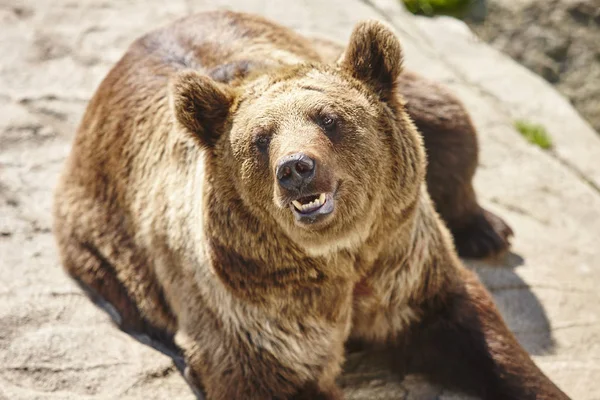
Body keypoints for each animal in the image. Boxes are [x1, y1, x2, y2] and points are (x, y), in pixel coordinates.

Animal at [54, 8, 564, 400]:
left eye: (329, 118)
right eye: (260, 140)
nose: (296, 168)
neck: (343, 257)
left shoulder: (401, 256)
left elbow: (476, 329)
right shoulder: (254, 305)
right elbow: (267, 374)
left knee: (451, 119)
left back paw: (487, 229)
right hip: (100, 235)